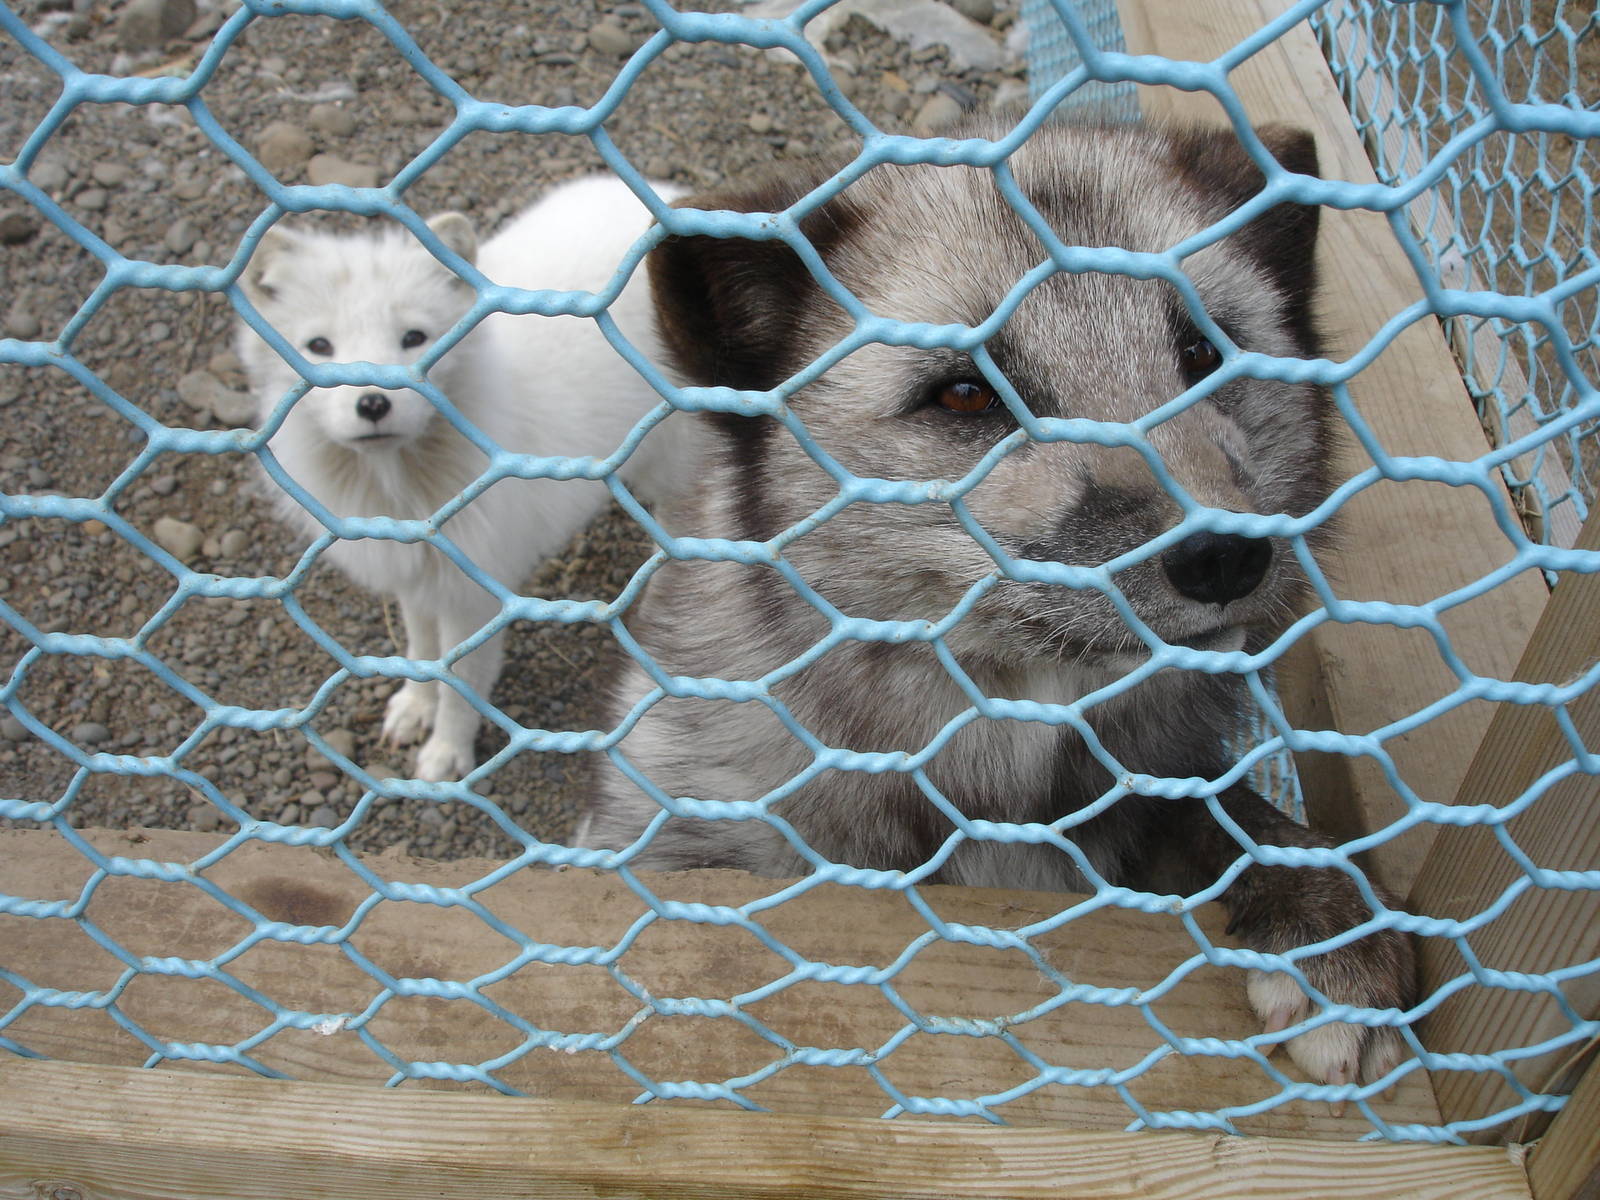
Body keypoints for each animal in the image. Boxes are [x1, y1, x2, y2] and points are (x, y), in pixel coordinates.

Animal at [575, 119, 1415, 1097]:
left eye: (1206, 353)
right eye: (968, 393)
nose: (1226, 556)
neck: (1002, 784)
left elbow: (1229, 815)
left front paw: (1327, 921)